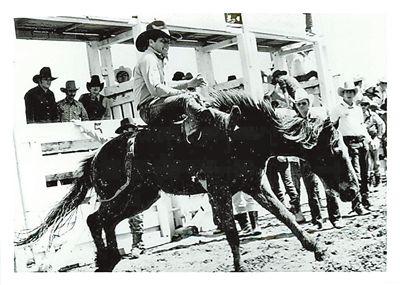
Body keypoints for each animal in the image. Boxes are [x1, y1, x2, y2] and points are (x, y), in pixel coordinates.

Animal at [16, 88, 360, 270]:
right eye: (336, 151)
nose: (354, 191)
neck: (237, 134)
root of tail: (96, 157)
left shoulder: (253, 185)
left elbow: (286, 215)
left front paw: (317, 248)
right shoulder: (220, 190)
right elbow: (232, 230)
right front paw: (240, 267)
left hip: (143, 196)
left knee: (105, 220)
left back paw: (109, 259)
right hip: (123, 194)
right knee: (95, 218)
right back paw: (107, 258)